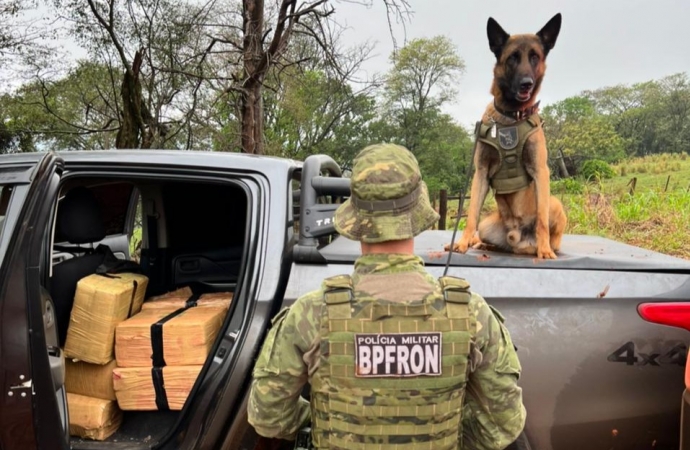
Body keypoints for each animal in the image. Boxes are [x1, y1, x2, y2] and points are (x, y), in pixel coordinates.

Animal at [446, 14, 564, 258]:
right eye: (512, 58)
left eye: (535, 57)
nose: (526, 83)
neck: (512, 115)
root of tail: (519, 238)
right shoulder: (480, 172)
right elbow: (471, 214)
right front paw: (461, 243)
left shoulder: (541, 171)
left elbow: (542, 219)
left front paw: (545, 250)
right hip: (487, 226)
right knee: (488, 236)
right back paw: (481, 244)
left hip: (556, 203)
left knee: (550, 231)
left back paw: (546, 246)